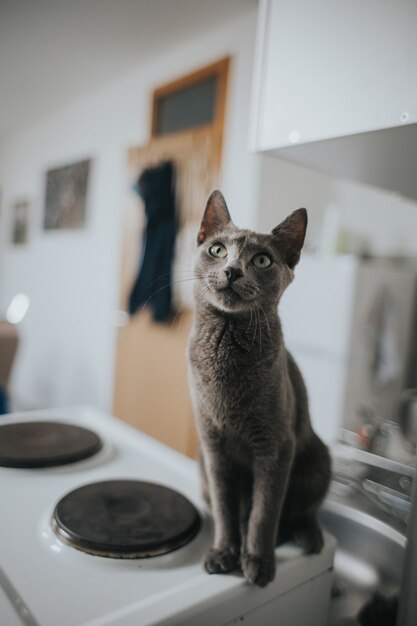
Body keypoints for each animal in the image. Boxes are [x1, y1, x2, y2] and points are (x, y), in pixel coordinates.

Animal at [187, 189, 330, 584]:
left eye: (263, 260)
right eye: (217, 250)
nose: (232, 270)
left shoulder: (276, 446)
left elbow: (265, 511)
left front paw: (259, 561)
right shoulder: (214, 447)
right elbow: (225, 507)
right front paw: (224, 552)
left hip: (318, 460)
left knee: (303, 509)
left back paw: (308, 537)